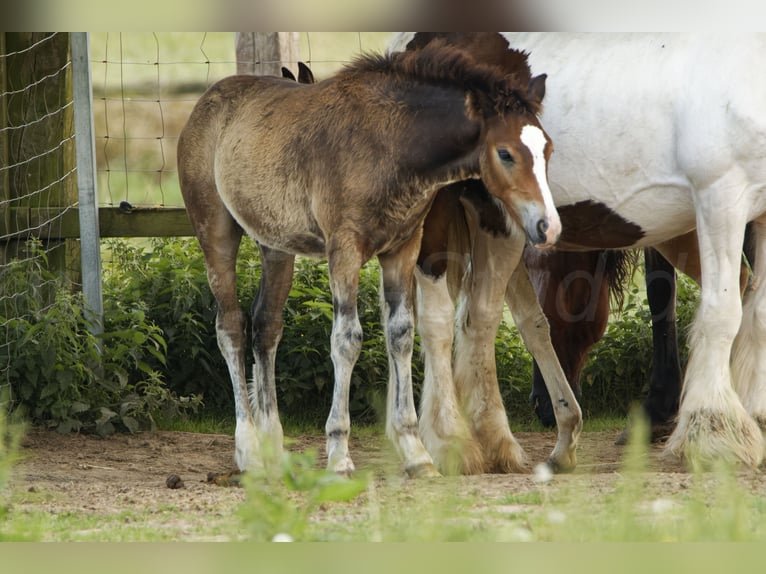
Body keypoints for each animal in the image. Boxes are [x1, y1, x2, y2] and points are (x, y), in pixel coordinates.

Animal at [178, 42, 564, 480]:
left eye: (548, 149)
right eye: (505, 153)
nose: (548, 227)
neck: (392, 143)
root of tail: (205, 100)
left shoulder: (402, 249)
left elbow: (401, 334)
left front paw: (416, 454)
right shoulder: (343, 251)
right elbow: (347, 340)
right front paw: (339, 455)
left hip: (275, 245)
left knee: (266, 325)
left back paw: (273, 447)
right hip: (215, 234)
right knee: (230, 327)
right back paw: (248, 451)